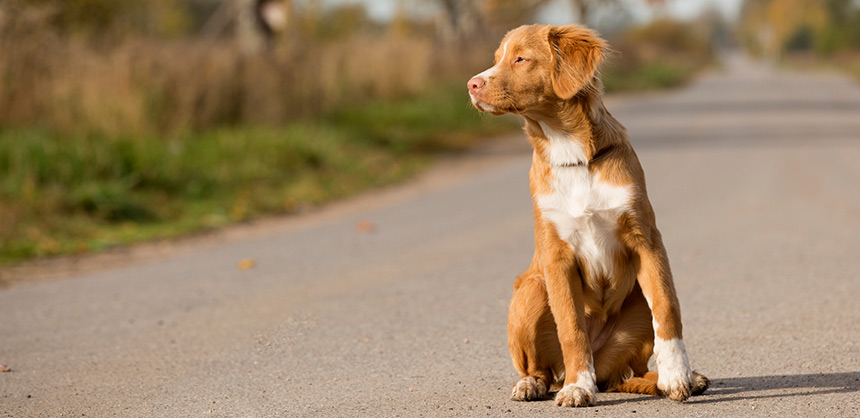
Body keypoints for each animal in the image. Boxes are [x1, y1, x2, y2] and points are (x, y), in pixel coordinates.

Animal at [466, 24, 708, 406]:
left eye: (520, 58)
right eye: (497, 59)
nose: (472, 84)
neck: (572, 155)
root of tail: (607, 370)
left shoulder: (647, 241)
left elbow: (667, 309)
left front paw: (677, 375)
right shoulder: (557, 257)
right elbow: (571, 328)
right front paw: (578, 386)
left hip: (634, 310)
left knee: (632, 370)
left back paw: (671, 378)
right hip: (531, 289)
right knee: (542, 369)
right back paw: (535, 383)